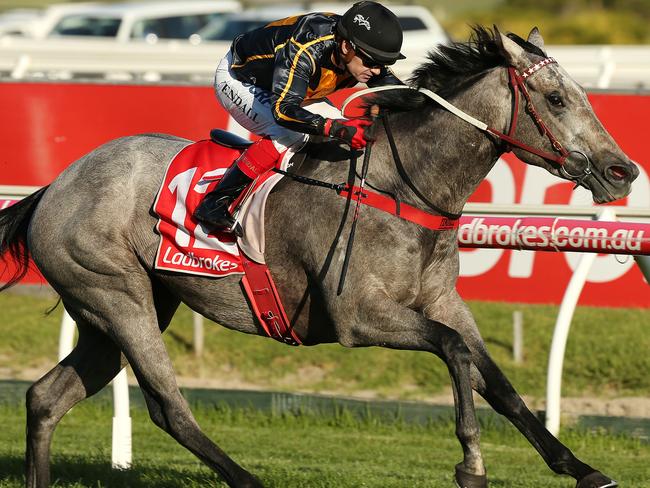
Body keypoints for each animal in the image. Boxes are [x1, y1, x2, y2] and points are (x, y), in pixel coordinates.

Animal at [0, 26, 636, 488]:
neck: (401, 186)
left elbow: (497, 381)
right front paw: (471, 465)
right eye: (556, 99)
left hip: (122, 309)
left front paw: (580, 469)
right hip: (117, 296)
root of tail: (54, 187)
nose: (622, 171)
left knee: (46, 398)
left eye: (582, 96)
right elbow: (454, 352)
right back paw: (247, 479)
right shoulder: (360, 317)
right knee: (167, 407)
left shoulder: (442, 301)